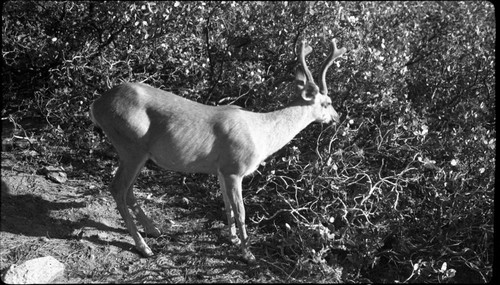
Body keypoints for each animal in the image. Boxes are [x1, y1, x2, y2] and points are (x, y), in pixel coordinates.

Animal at [90, 37, 346, 262]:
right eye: (328, 102)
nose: (337, 117)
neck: (261, 133)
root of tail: (96, 105)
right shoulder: (235, 168)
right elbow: (241, 211)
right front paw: (247, 253)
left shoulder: (221, 169)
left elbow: (227, 205)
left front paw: (232, 239)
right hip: (130, 146)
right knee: (117, 188)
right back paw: (144, 247)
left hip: (139, 154)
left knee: (129, 190)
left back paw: (153, 230)